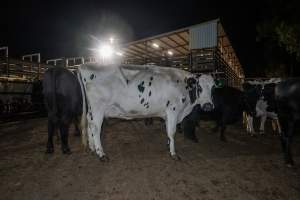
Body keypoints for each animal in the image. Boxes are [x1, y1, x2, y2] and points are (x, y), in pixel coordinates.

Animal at [76, 64, 214, 161]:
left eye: (213, 87)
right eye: (199, 87)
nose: (208, 106)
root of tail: (84, 65)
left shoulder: (167, 114)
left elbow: (168, 132)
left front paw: (168, 145)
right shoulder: (173, 110)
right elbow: (172, 132)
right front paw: (173, 154)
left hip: (92, 110)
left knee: (89, 123)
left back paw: (92, 148)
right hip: (98, 108)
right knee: (96, 128)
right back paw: (101, 154)